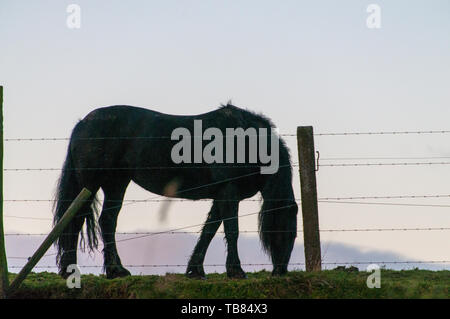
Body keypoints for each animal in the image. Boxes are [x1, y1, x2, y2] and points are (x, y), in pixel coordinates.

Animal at [53, 104, 298, 278]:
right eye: (287, 228)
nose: (281, 271)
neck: (246, 140)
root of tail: (83, 123)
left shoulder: (221, 195)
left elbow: (209, 230)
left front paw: (195, 270)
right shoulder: (230, 192)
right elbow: (231, 231)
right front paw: (236, 271)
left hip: (116, 184)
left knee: (107, 220)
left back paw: (116, 271)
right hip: (90, 185)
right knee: (74, 221)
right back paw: (71, 270)